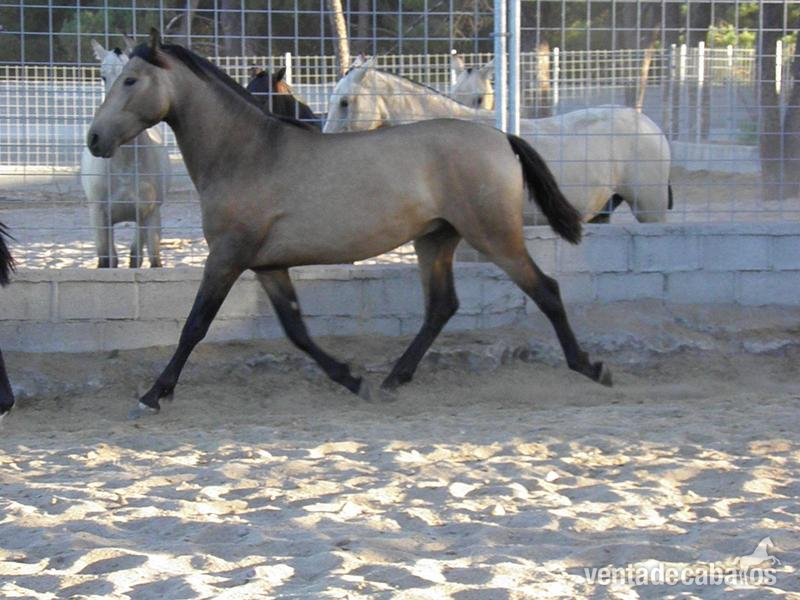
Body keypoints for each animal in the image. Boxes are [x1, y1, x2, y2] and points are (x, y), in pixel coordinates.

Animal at [80, 39, 171, 268]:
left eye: (131, 78)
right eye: (102, 76)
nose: (100, 136)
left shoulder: (150, 215)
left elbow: (153, 261)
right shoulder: (100, 216)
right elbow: (106, 261)